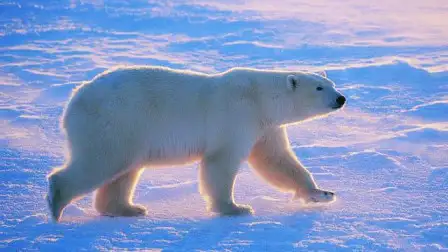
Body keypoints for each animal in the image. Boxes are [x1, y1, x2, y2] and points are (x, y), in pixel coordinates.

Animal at [46, 66, 346, 221]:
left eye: (331, 82)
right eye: (319, 87)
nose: (341, 98)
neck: (261, 97)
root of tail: (73, 101)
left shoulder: (265, 127)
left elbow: (277, 160)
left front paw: (322, 193)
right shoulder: (237, 115)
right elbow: (221, 162)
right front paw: (235, 208)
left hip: (129, 132)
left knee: (124, 170)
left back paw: (128, 209)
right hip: (115, 122)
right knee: (101, 161)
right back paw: (56, 205)